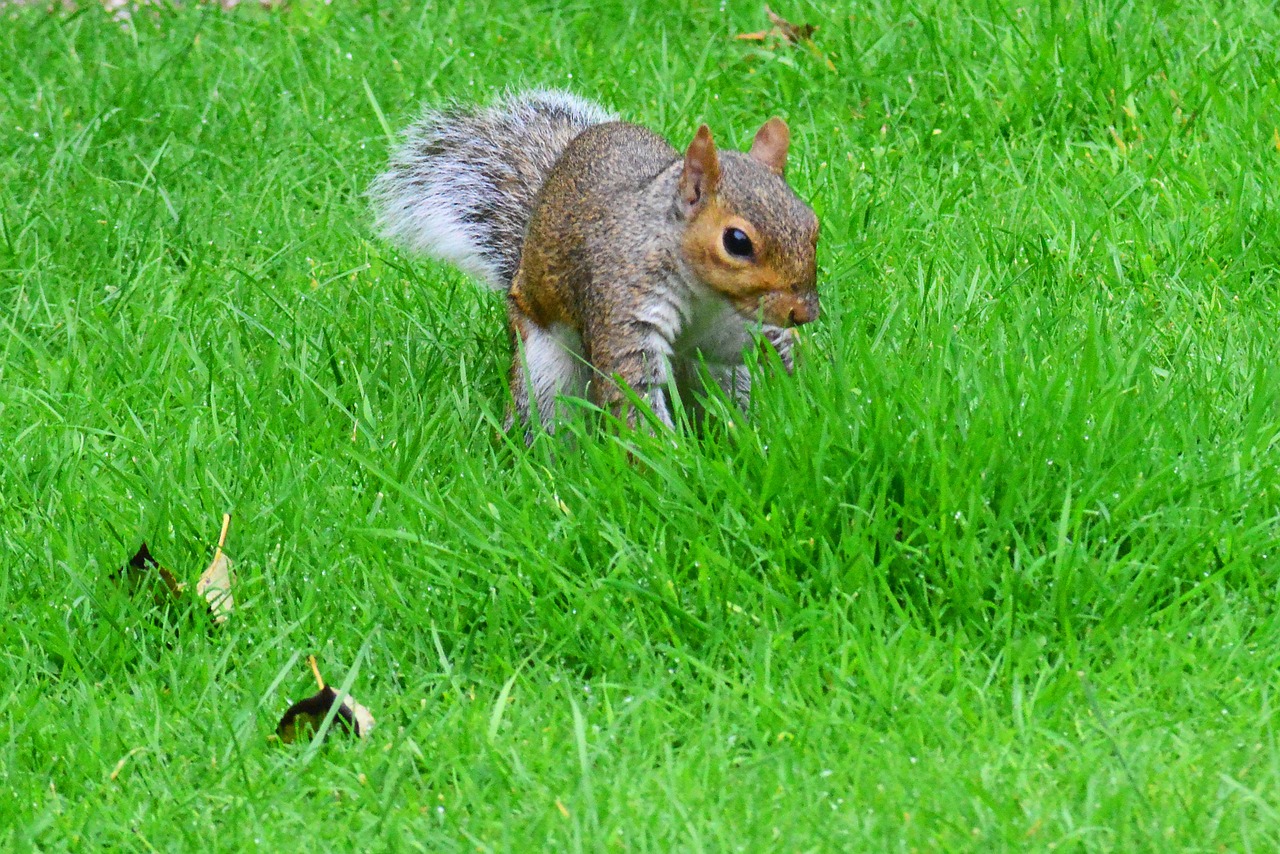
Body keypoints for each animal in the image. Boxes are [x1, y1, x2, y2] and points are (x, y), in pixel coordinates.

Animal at [371, 92, 819, 435]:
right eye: (736, 241)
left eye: (812, 223)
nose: (804, 313)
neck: (706, 296)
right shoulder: (621, 302)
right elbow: (633, 388)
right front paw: (670, 466)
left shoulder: (731, 329)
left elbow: (755, 352)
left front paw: (801, 400)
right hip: (544, 372)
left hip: (718, 378)